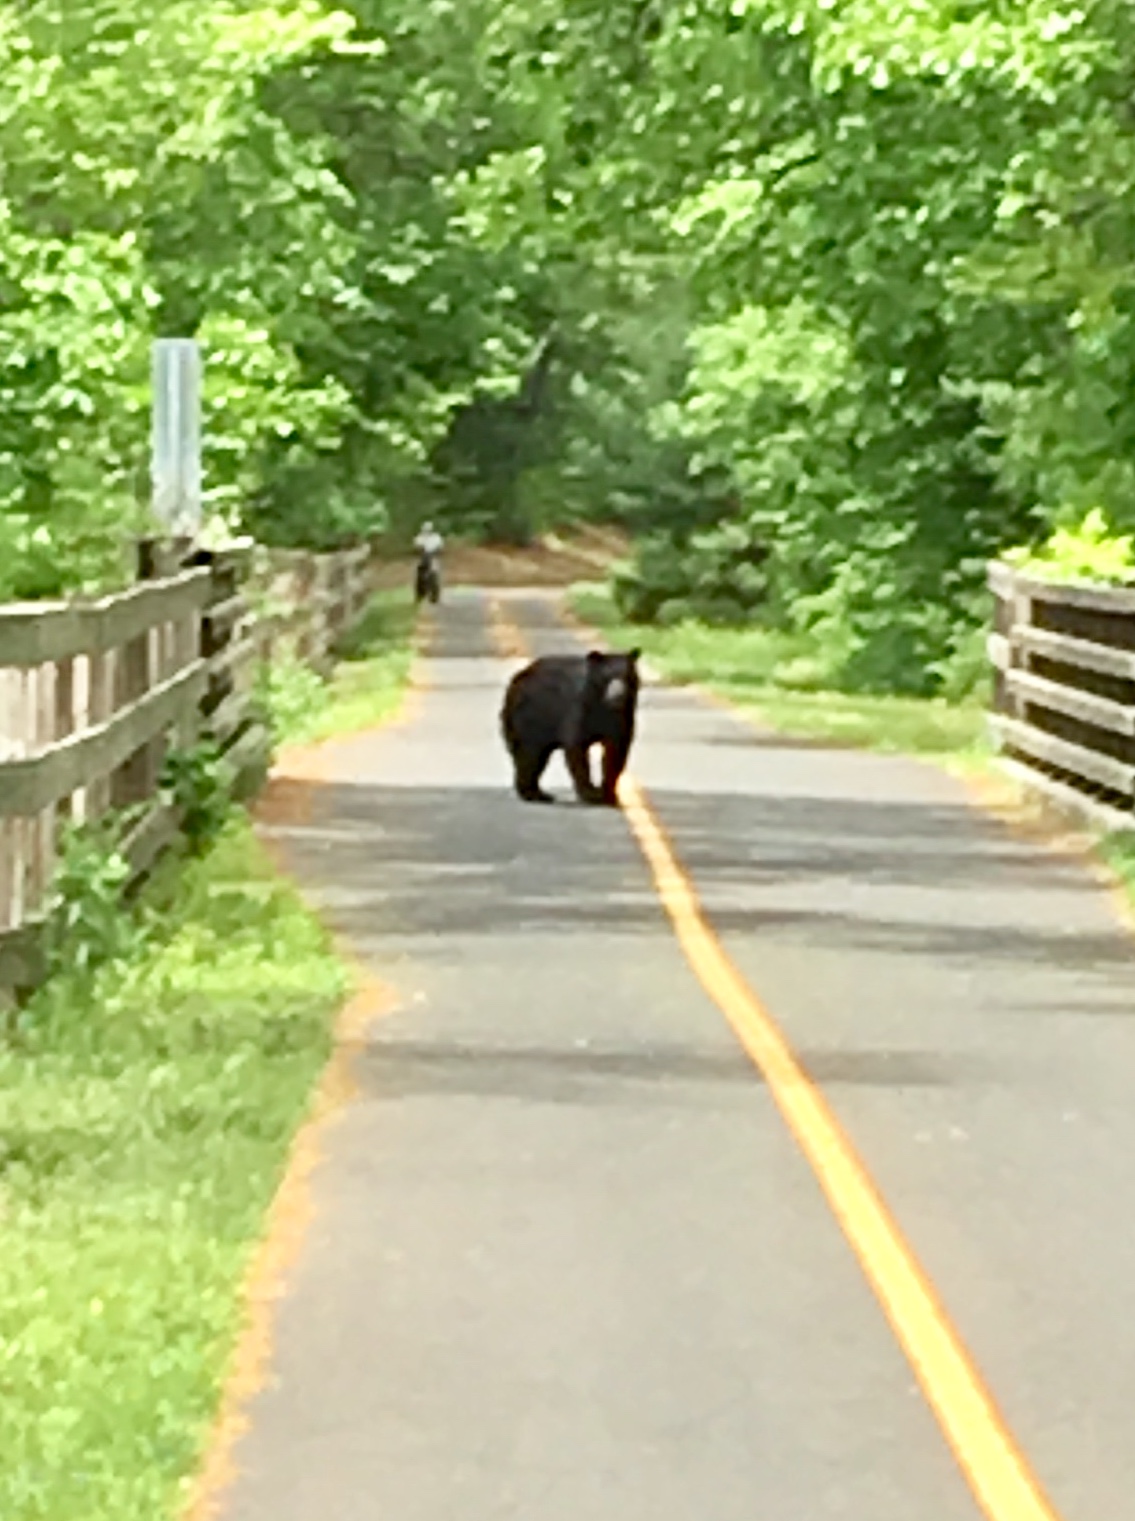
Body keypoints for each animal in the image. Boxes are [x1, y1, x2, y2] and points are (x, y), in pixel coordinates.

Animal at [500, 648, 641, 806]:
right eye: (607, 677)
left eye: (626, 676)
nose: (618, 695)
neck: (603, 707)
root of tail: (516, 680)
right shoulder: (579, 710)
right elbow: (577, 748)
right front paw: (592, 794)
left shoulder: (623, 717)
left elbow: (615, 751)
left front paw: (609, 794)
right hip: (533, 716)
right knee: (530, 754)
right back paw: (532, 793)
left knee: (538, 757)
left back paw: (540, 793)